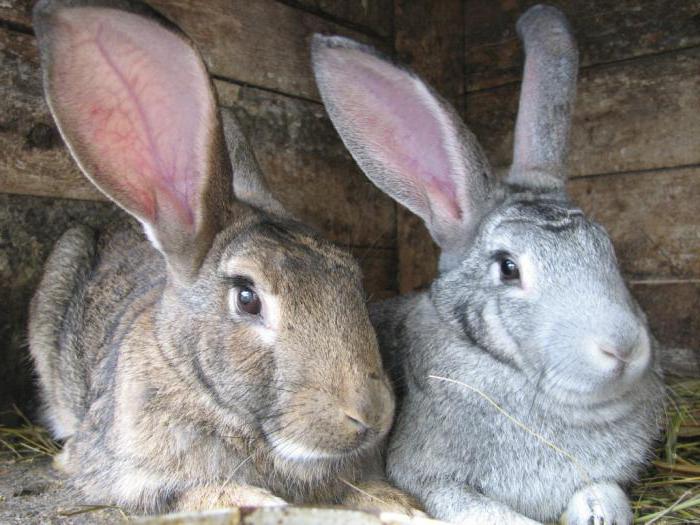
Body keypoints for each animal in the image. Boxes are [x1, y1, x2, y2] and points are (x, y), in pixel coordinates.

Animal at [28, 0, 420, 515]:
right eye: (248, 299)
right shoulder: (122, 469)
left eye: (353, 281)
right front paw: (257, 501)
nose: (369, 415)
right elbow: (191, 490)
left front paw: (403, 506)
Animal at [312, 4, 666, 525]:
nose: (622, 348)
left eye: (607, 248)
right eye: (508, 267)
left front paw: (600, 513)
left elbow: (604, 493)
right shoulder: (428, 480)